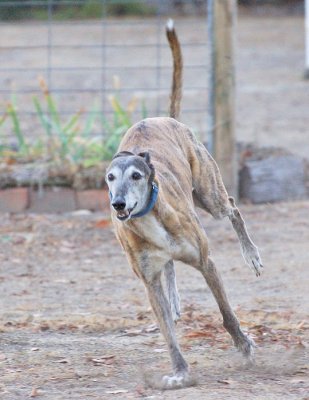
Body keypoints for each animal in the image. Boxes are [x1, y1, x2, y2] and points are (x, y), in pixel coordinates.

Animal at [105, 20, 262, 390]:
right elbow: (167, 333)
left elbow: (226, 313)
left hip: (209, 194)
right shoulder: (148, 282)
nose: (118, 204)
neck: (149, 218)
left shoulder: (206, 262)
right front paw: (179, 371)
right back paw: (175, 298)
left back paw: (251, 254)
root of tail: (165, 118)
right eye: (109, 178)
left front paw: (244, 345)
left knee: (232, 206)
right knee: (170, 270)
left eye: (136, 175)